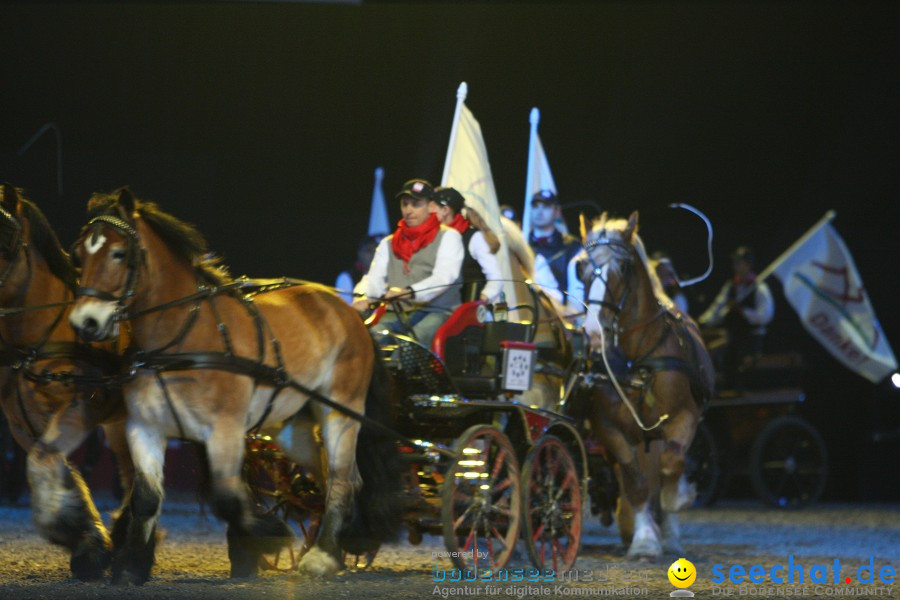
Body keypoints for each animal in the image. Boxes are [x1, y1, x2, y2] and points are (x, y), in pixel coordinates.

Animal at [0, 183, 134, 576]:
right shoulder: (20, 423)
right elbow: (52, 464)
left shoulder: (77, 406)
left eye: (4, 236)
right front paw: (87, 537)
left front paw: (85, 540)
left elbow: (45, 462)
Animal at [72, 190, 402, 584]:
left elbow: (227, 499)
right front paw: (131, 567)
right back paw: (337, 545)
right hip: (292, 428)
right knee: (333, 476)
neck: (182, 338)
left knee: (341, 479)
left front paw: (264, 539)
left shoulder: (224, 431)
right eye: (79, 254)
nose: (85, 322)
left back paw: (323, 555)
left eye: (119, 253)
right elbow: (145, 500)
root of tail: (349, 312)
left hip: (341, 411)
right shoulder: (144, 428)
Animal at [580, 213, 712, 560]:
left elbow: (672, 465)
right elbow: (635, 483)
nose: (593, 332)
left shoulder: (684, 418)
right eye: (581, 266)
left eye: (624, 267)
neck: (637, 360)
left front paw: (675, 504)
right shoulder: (609, 429)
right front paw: (644, 541)